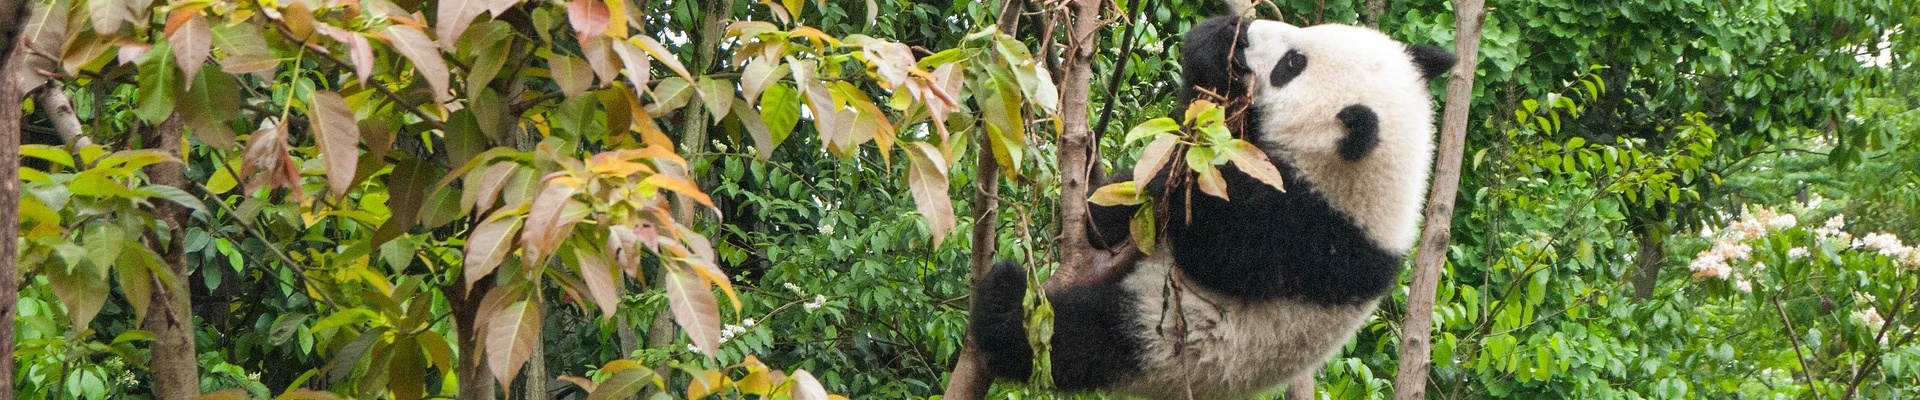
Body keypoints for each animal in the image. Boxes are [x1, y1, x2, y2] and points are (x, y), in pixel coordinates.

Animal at [967, 15, 1455, 399]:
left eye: (1290, 65)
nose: (1250, 31)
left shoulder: (1313, 238)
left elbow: (1214, 244)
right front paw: (1216, 42)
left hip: (1162, 341)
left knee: (1073, 339)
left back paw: (1003, 303)